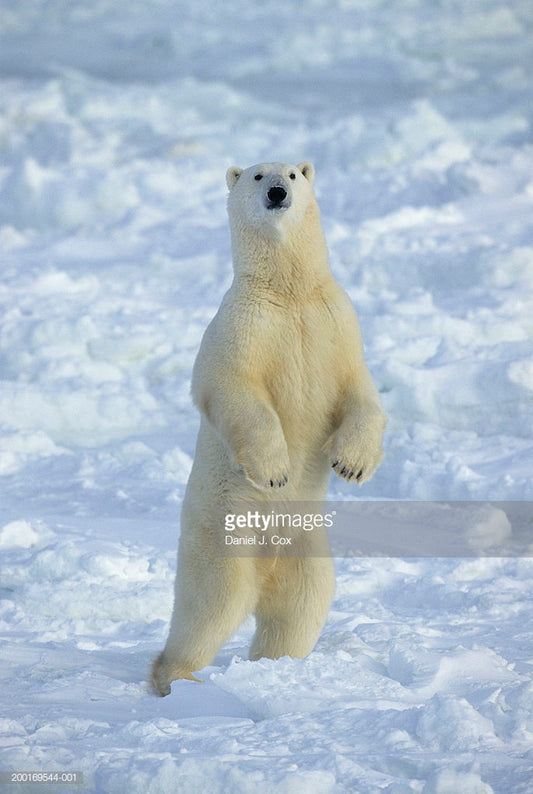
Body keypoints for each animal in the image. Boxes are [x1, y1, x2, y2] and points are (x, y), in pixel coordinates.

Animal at [151, 161, 386, 692]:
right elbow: (234, 387)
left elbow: (360, 391)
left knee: (300, 609)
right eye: (258, 176)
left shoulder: (336, 324)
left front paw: (352, 464)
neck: (289, 291)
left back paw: (276, 668)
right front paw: (277, 471)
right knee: (210, 608)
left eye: (294, 174)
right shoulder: (242, 326)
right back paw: (177, 678)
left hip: (305, 547)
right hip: (225, 538)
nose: (278, 192)